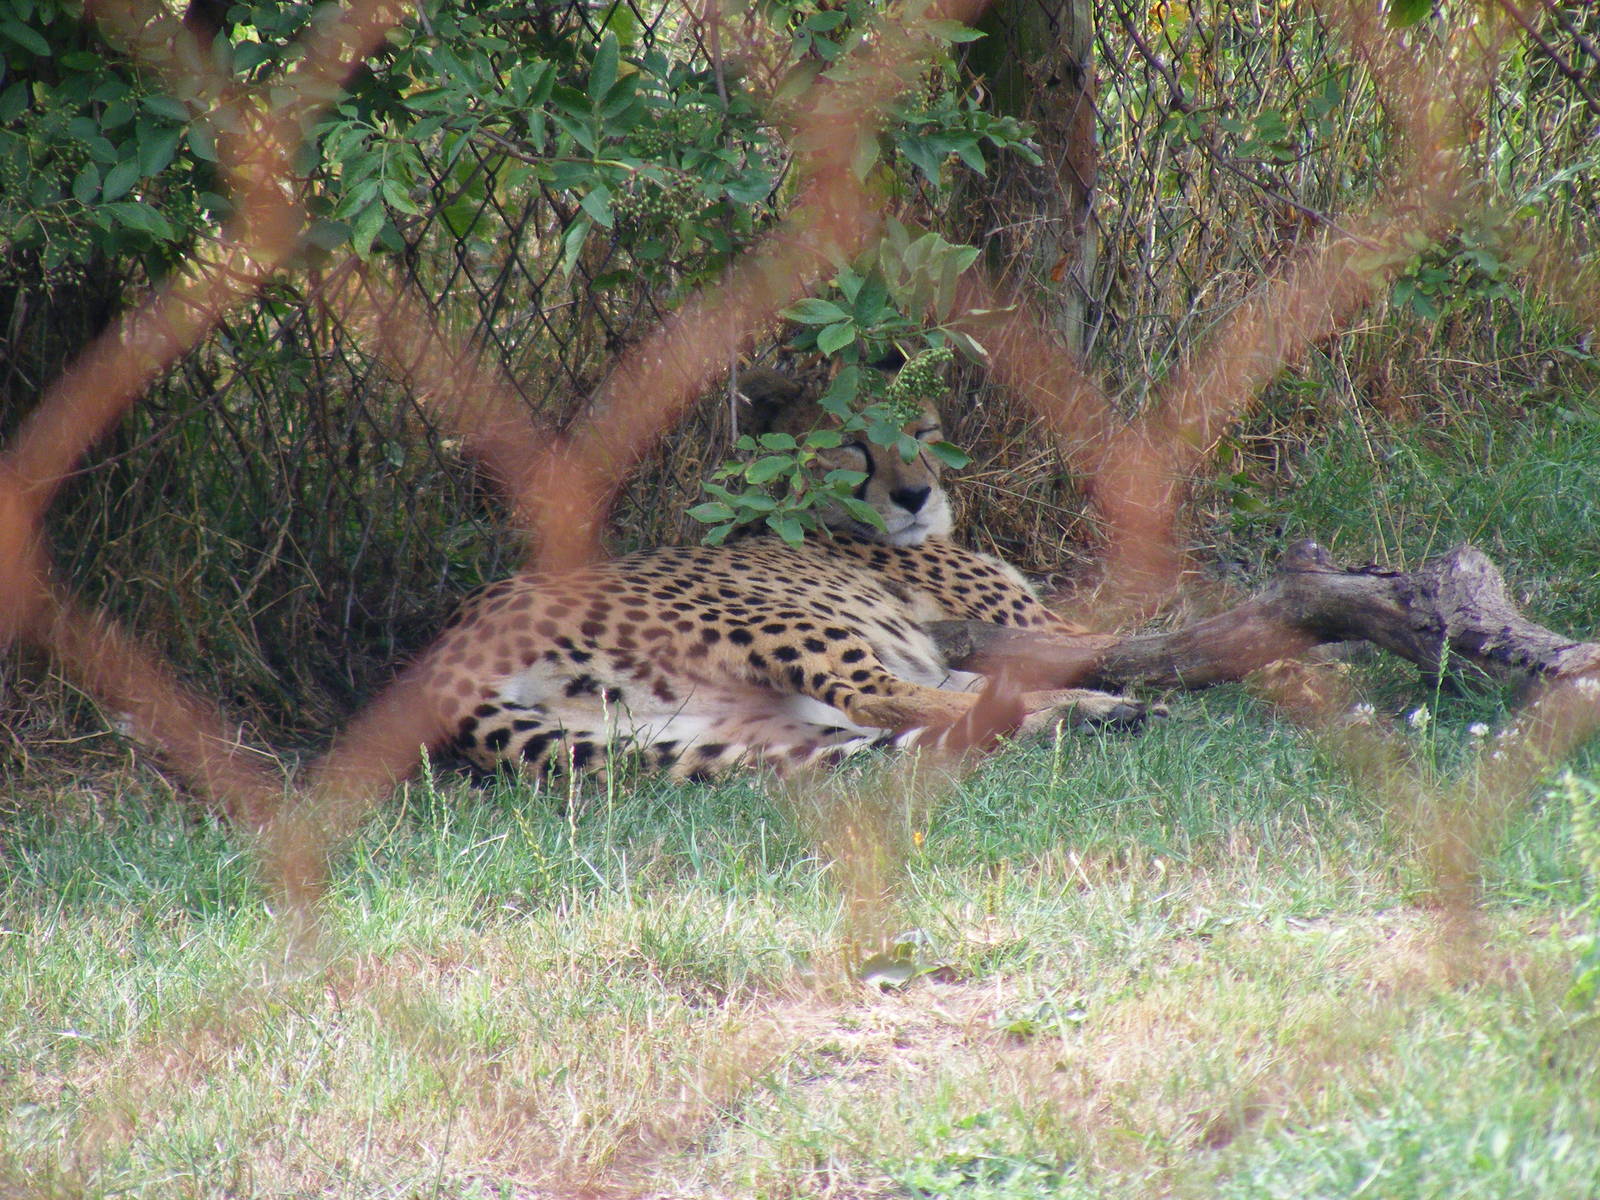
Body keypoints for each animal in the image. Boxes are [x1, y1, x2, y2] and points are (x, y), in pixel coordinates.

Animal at [415, 367, 1149, 782]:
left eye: (919, 431)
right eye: (852, 445)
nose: (913, 494)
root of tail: (450, 635)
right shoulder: (1042, 625)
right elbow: (1122, 635)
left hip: (709, 728)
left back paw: (1084, 714)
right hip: (781, 621)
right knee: (883, 698)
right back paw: (1087, 714)